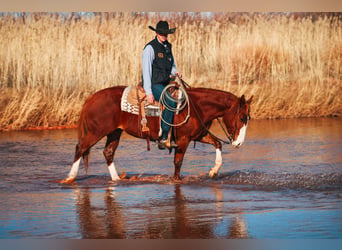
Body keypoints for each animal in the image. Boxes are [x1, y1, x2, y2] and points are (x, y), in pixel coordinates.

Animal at [58, 85, 252, 183]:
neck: (195, 106)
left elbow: (218, 144)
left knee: (108, 152)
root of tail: (92, 98)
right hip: (96, 132)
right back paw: (69, 178)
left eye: (248, 118)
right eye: (242, 117)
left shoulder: (198, 136)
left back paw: (116, 179)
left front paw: (213, 171)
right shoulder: (183, 140)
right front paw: (176, 180)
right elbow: (178, 163)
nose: (239, 143)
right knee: (80, 148)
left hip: (114, 132)